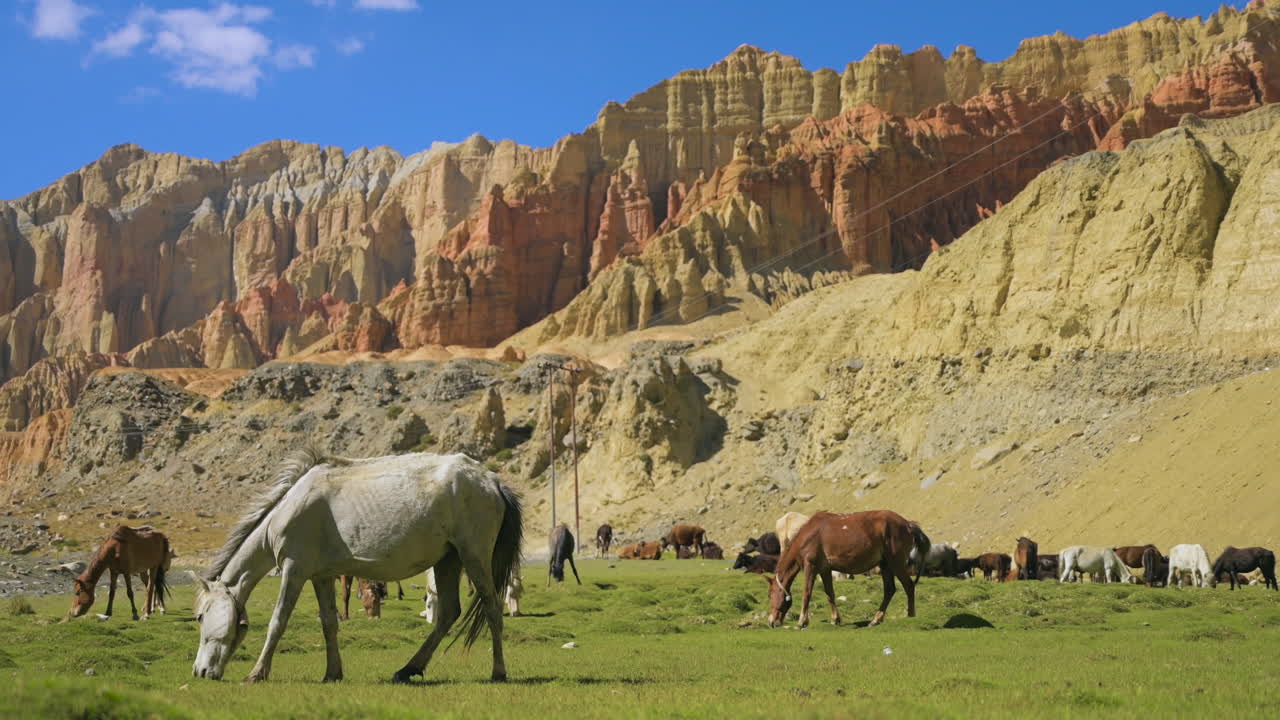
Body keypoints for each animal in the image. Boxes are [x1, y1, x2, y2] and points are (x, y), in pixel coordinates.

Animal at [191, 450, 523, 685]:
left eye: (199, 617)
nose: (200, 671)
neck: (290, 507)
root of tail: (493, 481)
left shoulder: (293, 570)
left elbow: (277, 622)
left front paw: (256, 673)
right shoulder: (321, 576)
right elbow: (329, 623)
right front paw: (332, 673)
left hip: (473, 556)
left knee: (492, 608)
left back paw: (498, 671)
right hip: (448, 561)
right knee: (448, 613)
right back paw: (408, 669)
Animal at [766, 510, 929, 628]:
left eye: (770, 595)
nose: (771, 622)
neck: (808, 534)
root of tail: (908, 524)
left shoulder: (810, 566)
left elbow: (807, 593)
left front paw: (802, 622)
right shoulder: (825, 570)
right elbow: (829, 593)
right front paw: (835, 619)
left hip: (896, 563)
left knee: (908, 586)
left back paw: (910, 616)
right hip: (885, 565)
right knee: (890, 590)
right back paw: (876, 619)